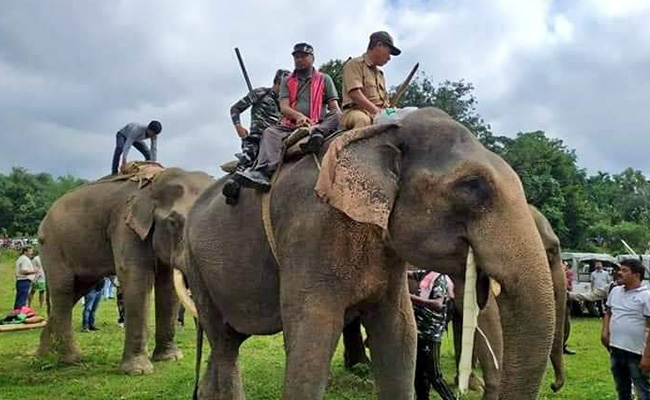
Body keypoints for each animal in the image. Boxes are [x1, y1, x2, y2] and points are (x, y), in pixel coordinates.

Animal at [36, 165, 213, 375]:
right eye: (173, 222)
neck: (154, 183)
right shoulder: (124, 225)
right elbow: (136, 276)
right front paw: (137, 371)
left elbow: (168, 285)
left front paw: (170, 358)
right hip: (53, 247)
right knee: (63, 290)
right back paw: (71, 360)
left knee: (76, 291)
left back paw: (43, 355)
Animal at [181, 108, 555, 400]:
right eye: (473, 186)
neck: (378, 131)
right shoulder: (310, 231)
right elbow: (312, 339)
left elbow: (400, 334)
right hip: (195, 266)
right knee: (224, 343)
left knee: (226, 343)